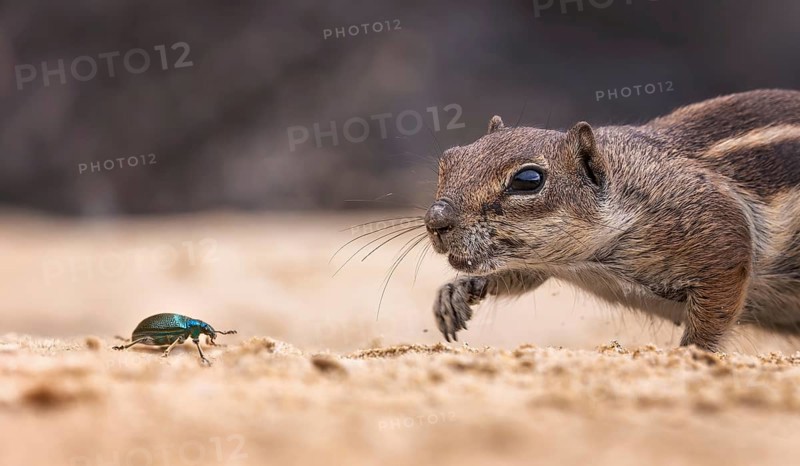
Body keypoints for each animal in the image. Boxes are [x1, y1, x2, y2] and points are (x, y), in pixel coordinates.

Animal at [424, 89, 800, 351]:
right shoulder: (541, 262)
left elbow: (714, 316)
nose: (435, 220)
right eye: (448, 160)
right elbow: (520, 276)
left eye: (528, 180)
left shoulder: (723, 243)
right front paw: (455, 294)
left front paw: (691, 355)